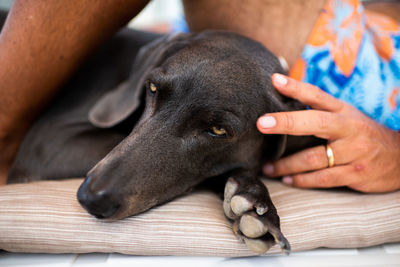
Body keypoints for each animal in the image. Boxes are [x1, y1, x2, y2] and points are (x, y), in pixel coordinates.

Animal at [6, 27, 320, 255]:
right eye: (153, 88)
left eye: (218, 130)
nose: (91, 199)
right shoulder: (48, 143)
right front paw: (252, 198)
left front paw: (253, 201)